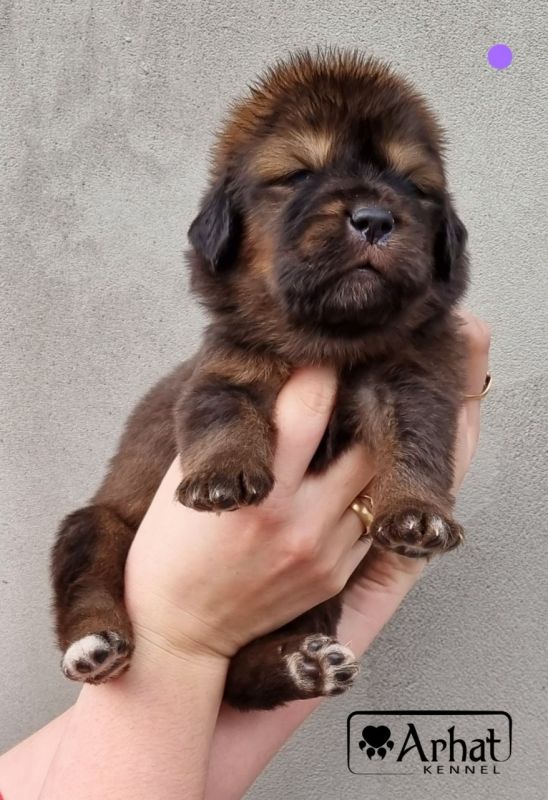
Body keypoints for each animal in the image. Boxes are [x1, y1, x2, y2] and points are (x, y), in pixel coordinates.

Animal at [51, 50, 469, 709]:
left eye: (415, 187)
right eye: (297, 176)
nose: (375, 218)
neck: (330, 340)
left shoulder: (412, 380)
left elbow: (417, 441)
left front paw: (416, 514)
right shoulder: (226, 368)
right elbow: (225, 411)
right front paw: (221, 478)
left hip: (317, 602)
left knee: (241, 681)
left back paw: (301, 665)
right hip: (93, 525)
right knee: (89, 580)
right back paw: (94, 647)